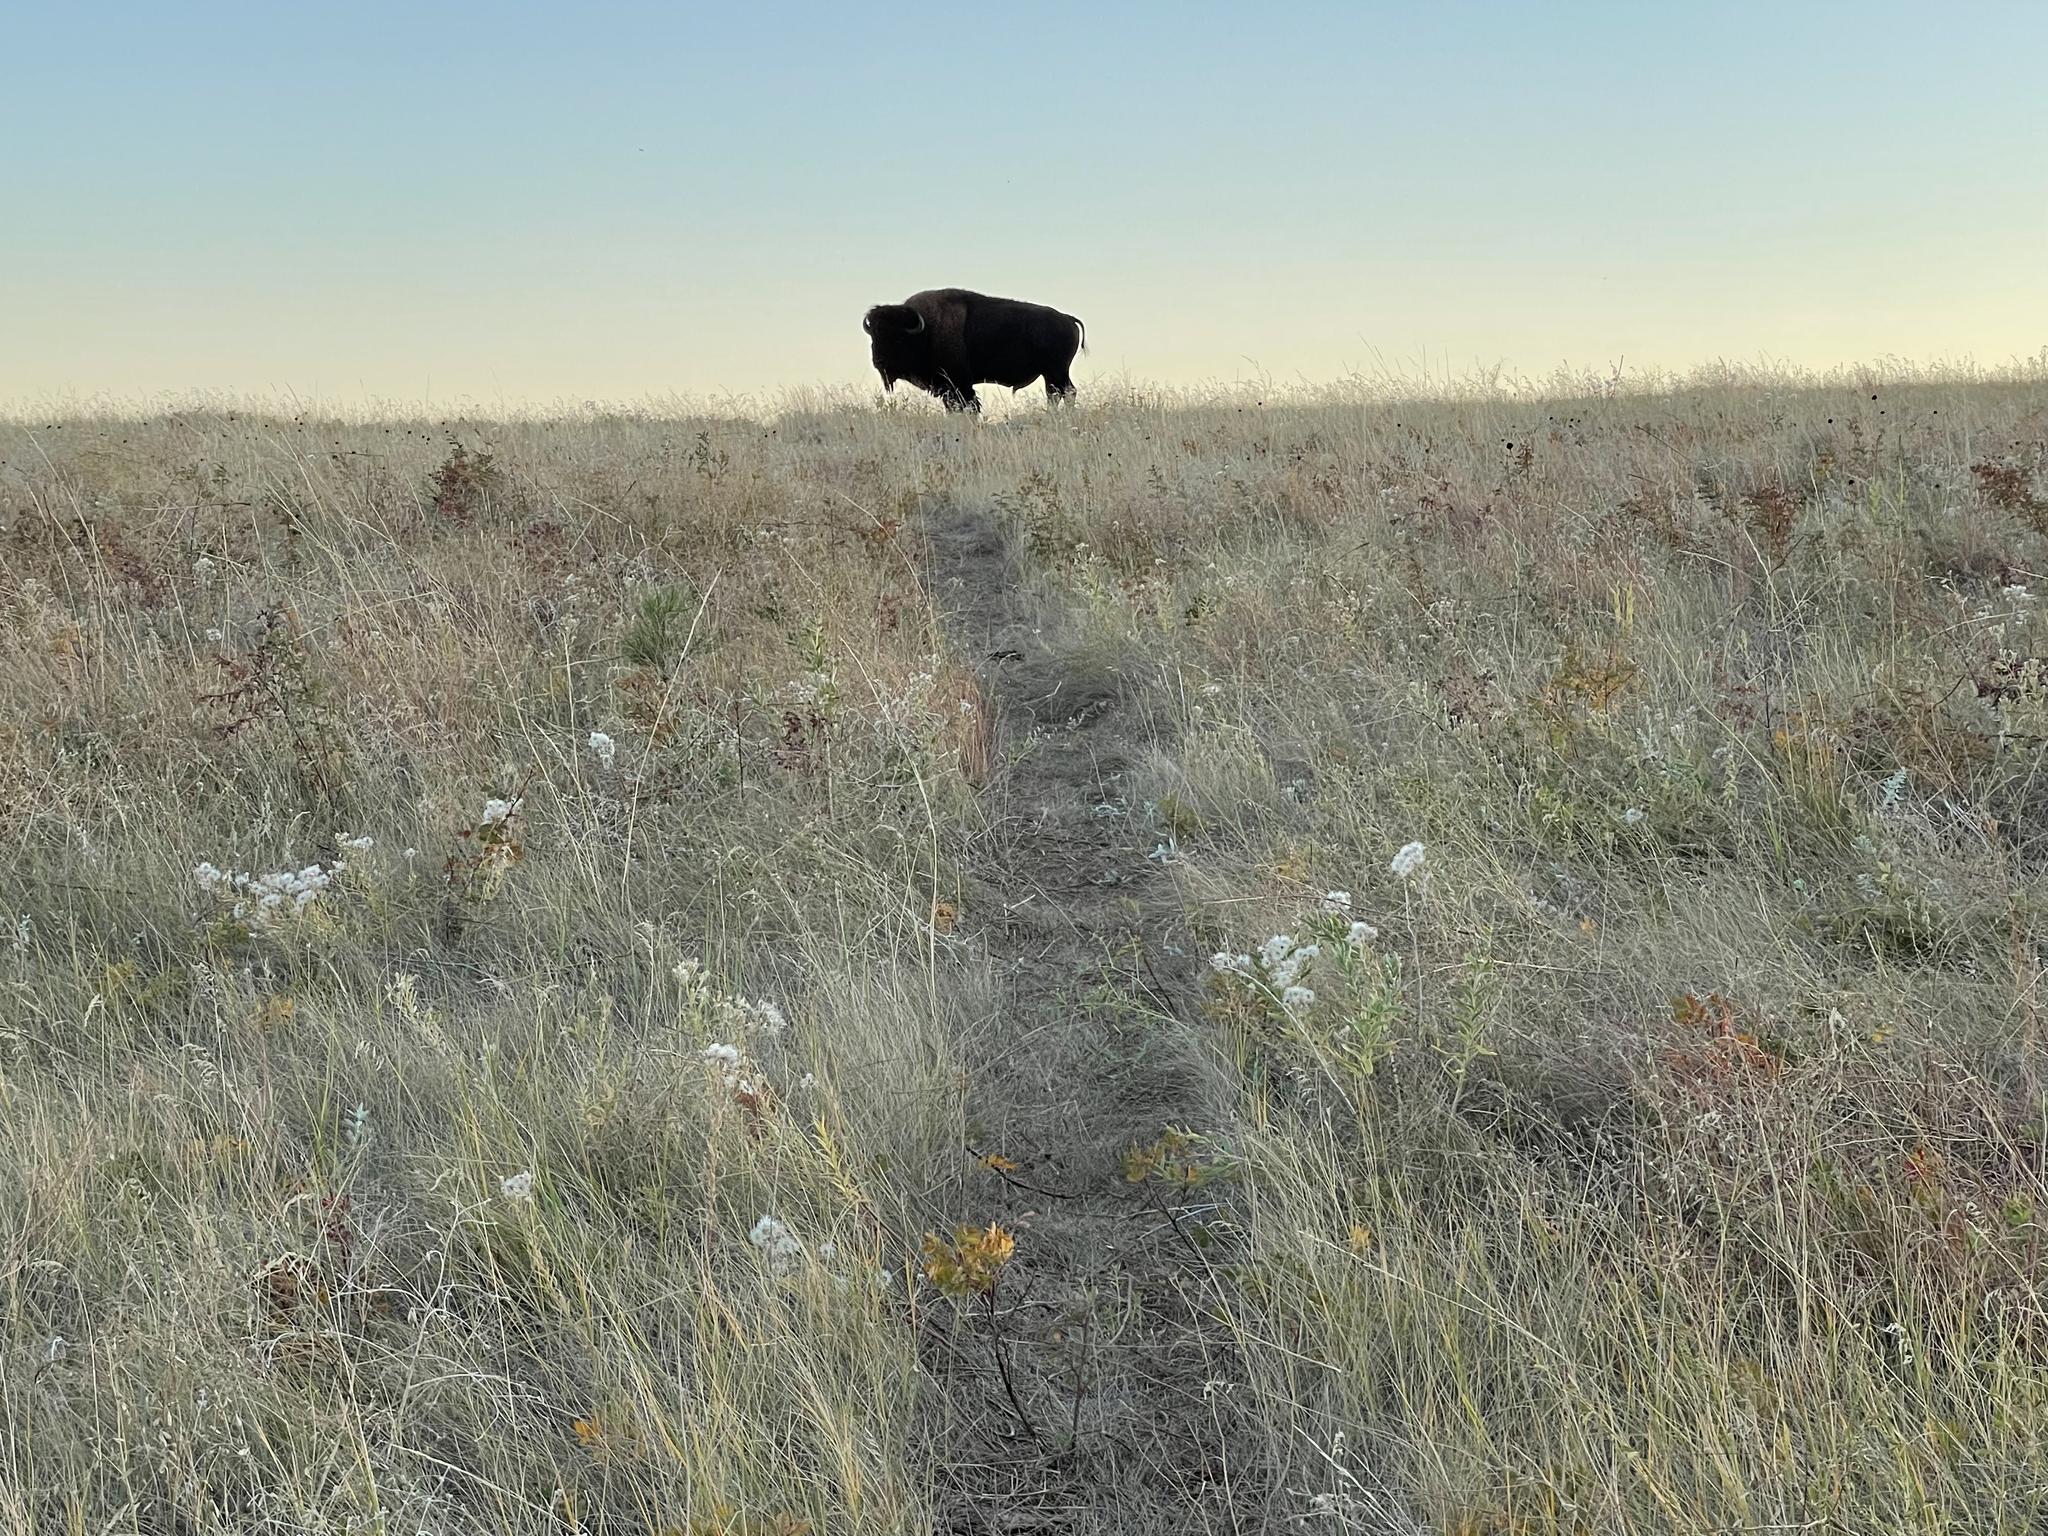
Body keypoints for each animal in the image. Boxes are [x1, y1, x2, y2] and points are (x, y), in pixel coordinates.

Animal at [862, 288, 1085, 413]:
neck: (925, 332)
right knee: (1056, 394)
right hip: (1051, 374)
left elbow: (969, 405)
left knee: (1065, 392)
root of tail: (1068, 319)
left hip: (1056, 371)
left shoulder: (959, 384)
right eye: (873, 336)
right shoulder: (947, 388)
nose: (879, 361)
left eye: (897, 337)